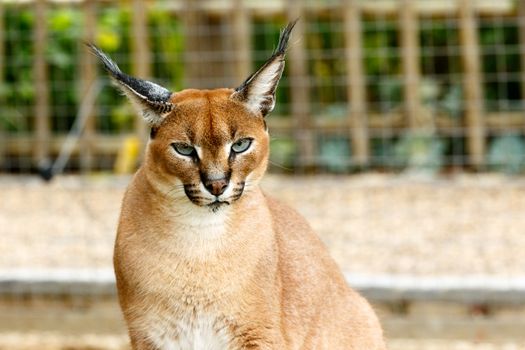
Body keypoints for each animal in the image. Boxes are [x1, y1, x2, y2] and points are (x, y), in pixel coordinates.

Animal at [89, 20, 384, 348]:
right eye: (184, 149)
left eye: (240, 145)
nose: (217, 184)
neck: (200, 241)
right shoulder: (150, 335)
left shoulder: (257, 334)